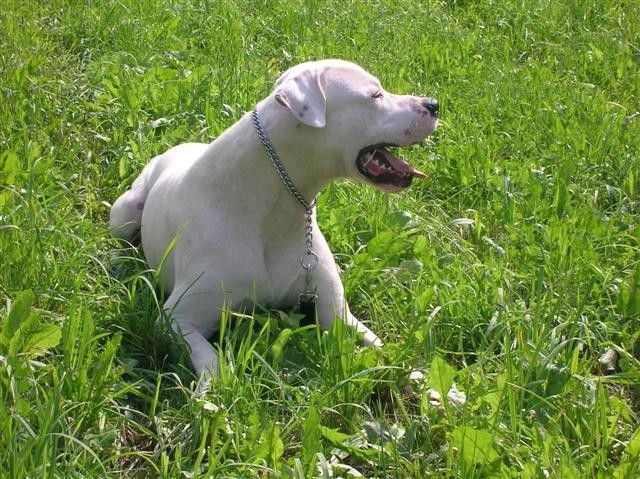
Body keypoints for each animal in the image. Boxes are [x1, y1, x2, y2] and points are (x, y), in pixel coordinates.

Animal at [111, 60, 440, 378]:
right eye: (375, 95)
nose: (434, 103)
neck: (272, 213)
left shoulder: (336, 314)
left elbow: (386, 352)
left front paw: (433, 386)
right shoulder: (178, 319)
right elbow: (211, 360)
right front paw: (212, 390)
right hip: (124, 213)